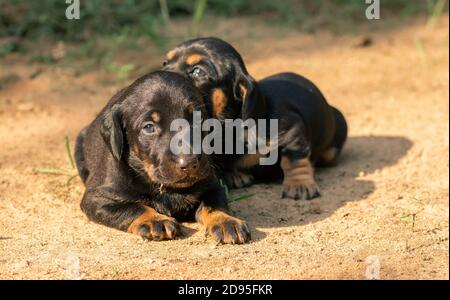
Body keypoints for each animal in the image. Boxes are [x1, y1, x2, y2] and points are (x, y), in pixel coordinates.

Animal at [74, 71, 250, 244]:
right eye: (149, 127)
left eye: (199, 118)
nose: (189, 163)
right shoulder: (97, 198)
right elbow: (132, 207)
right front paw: (155, 220)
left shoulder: (212, 185)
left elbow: (214, 204)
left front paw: (225, 220)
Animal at [162, 38, 348, 202]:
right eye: (165, 63)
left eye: (198, 71)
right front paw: (233, 174)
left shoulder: (292, 131)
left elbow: (294, 159)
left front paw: (299, 184)